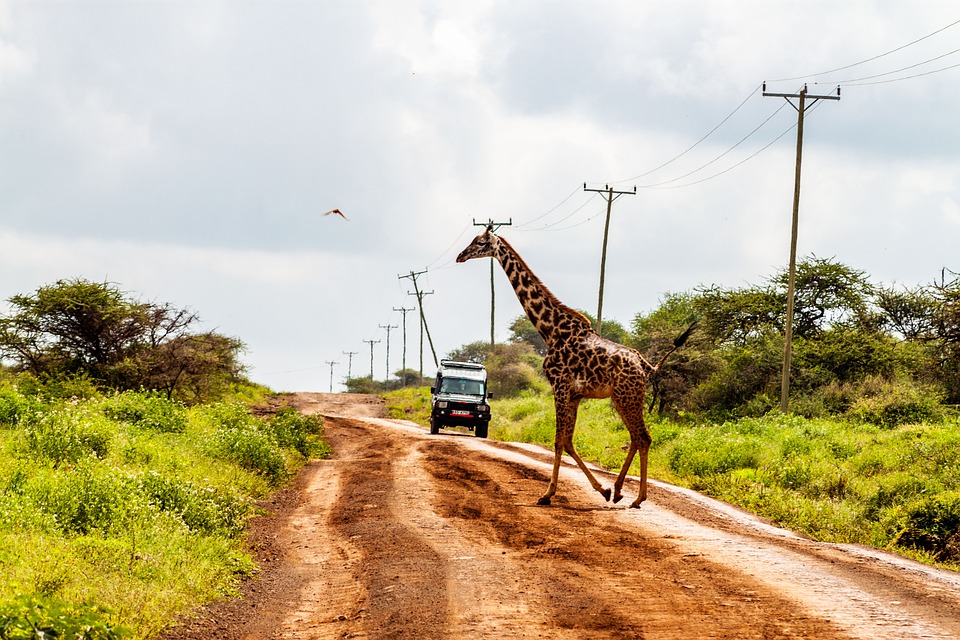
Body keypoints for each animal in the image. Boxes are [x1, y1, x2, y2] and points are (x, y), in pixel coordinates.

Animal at [454, 228, 692, 508]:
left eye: (480, 242)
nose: (460, 256)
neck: (550, 330)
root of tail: (644, 365)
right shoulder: (575, 394)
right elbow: (567, 440)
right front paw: (602, 489)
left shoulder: (559, 386)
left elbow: (558, 440)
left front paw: (547, 494)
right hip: (624, 397)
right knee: (637, 437)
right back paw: (620, 490)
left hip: (627, 396)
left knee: (642, 437)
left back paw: (637, 497)